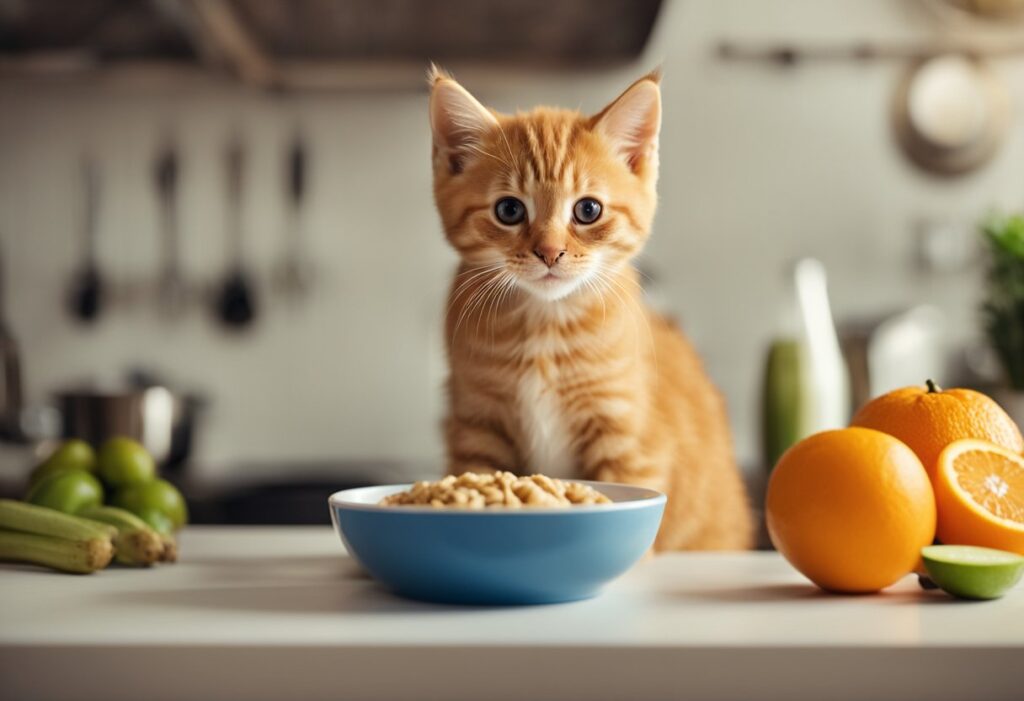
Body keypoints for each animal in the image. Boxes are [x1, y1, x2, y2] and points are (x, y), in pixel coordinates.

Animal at [428, 68, 757, 548]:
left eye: (588, 210)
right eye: (509, 210)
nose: (549, 252)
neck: (543, 329)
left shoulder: (627, 440)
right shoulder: (475, 426)